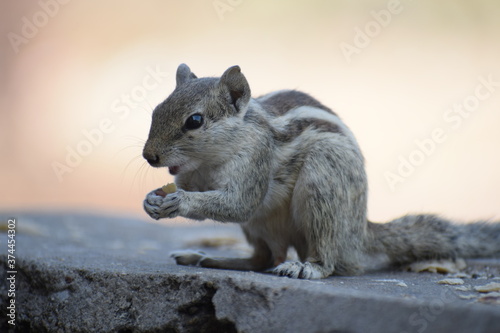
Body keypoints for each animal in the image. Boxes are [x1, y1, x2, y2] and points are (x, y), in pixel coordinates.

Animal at [142, 64, 500, 278]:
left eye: (195, 121)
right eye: (156, 109)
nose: (149, 156)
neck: (208, 162)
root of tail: (359, 234)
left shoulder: (255, 160)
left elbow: (238, 203)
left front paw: (180, 202)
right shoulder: (191, 176)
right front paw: (151, 201)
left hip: (322, 183)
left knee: (323, 258)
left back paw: (307, 268)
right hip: (258, 227)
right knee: (263, 259)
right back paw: (207, 258)